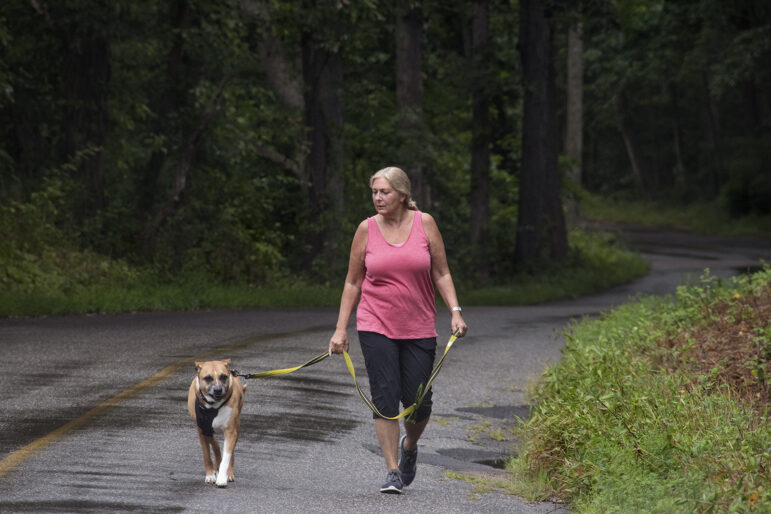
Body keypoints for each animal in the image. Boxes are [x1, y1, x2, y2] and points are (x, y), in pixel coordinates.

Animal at [188, 356, 246, 484]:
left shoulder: (230, 431)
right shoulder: (202, 430)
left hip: (237, 426)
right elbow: (207, 455)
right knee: (215, 444)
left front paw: (222, 478)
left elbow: (227, 456)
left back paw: (228, 472)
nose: (218, 390)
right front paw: (210, 475)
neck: (213, 407)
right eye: (208, 378)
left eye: (223, 376)